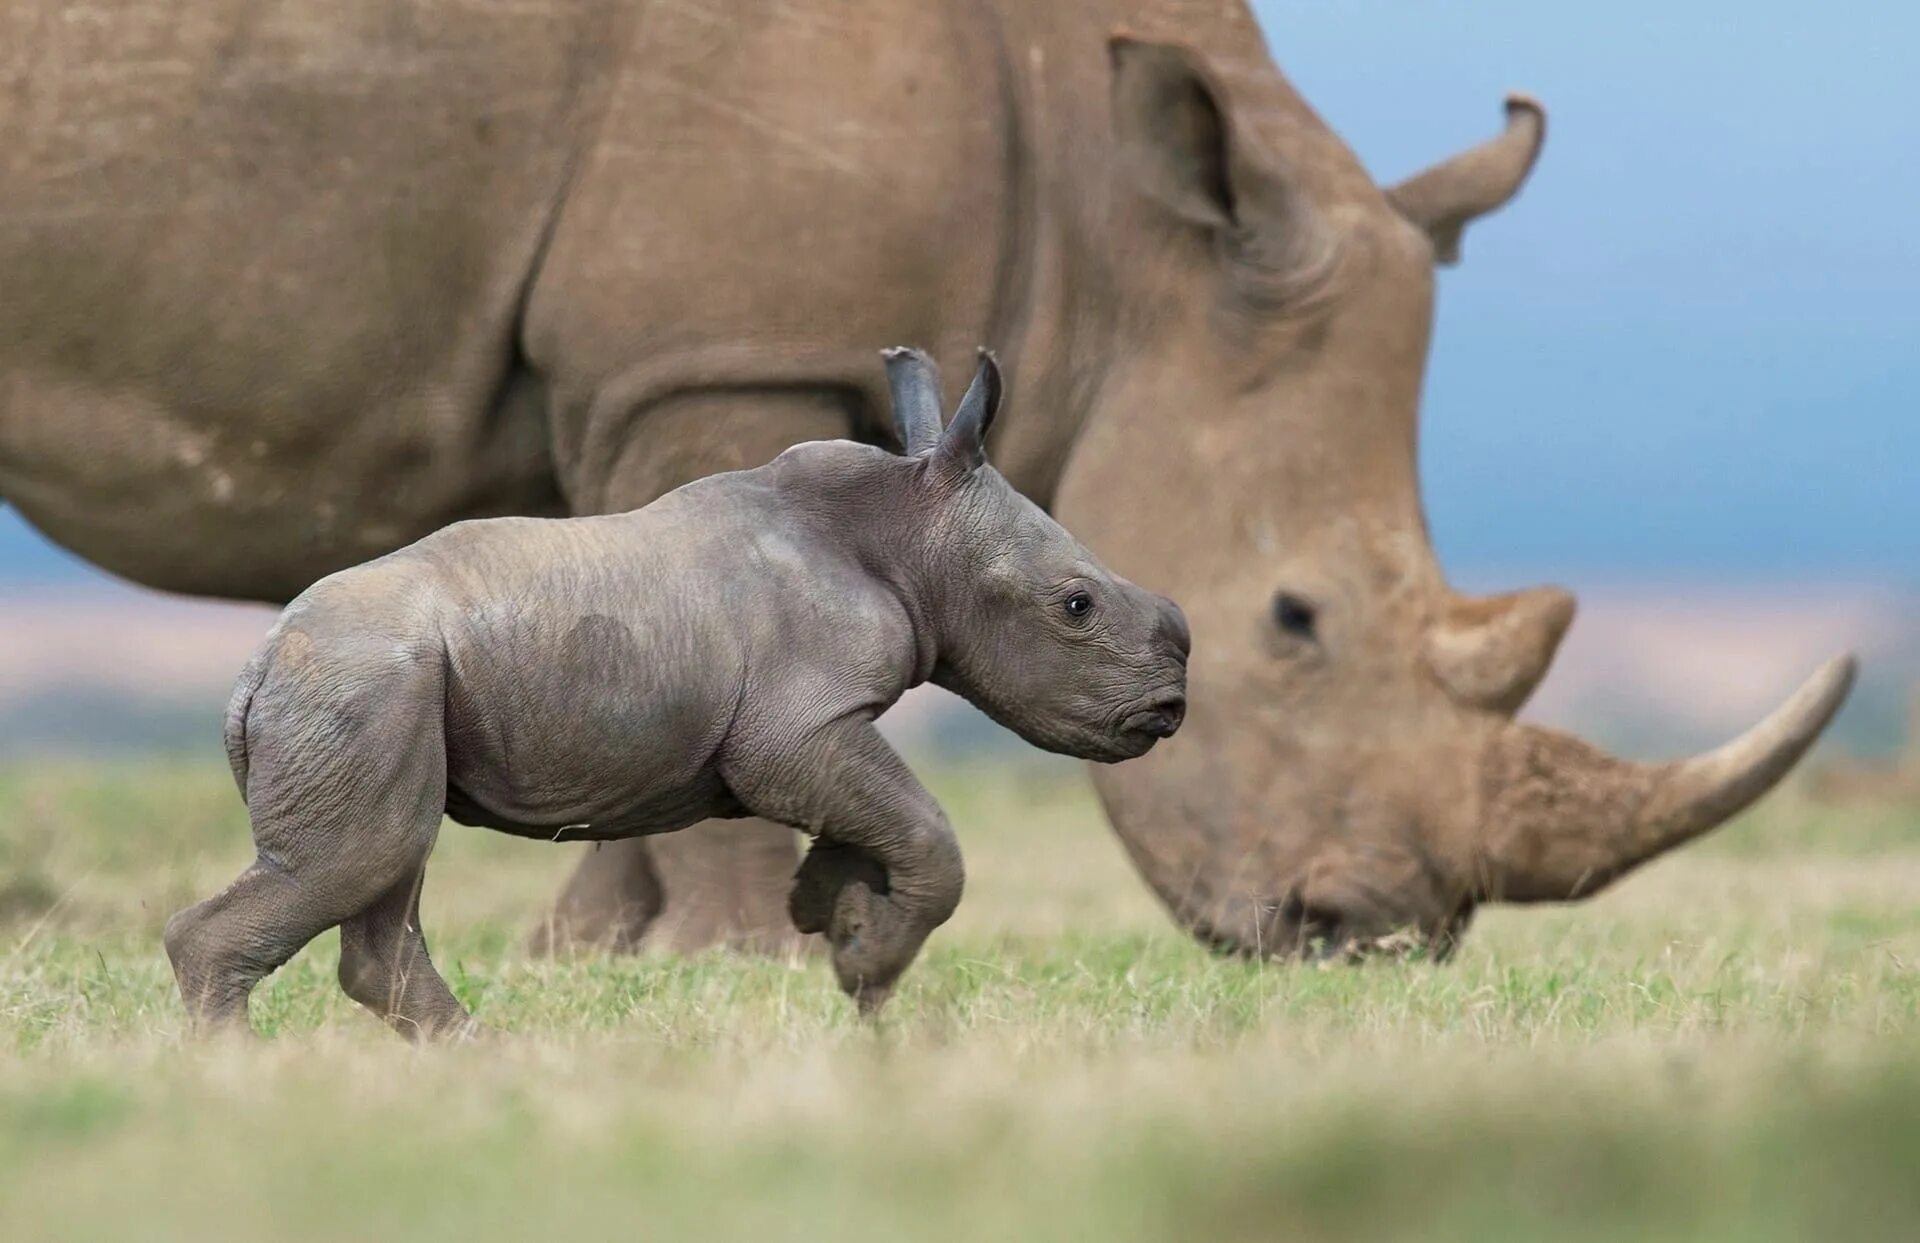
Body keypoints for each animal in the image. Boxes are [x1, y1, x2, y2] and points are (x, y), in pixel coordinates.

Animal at [0, 0, 1858, 964]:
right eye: (1294, 617)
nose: (1379, 936)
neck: (1111, 225)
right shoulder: (715, 346)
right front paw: (737, 965)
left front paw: (592, 955)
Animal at [168, 349, 1182, 1037]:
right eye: (1078, 606)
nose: (1169, 707)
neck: (908, 528)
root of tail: (258, 666)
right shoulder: (796, 727)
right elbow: (929, 832)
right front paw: (866, 968)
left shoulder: (816, 726)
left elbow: (880, 822)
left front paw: (832, 915)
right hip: (362, 684)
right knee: (358, 862)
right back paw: (241, 1070)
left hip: (377, 690)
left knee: (383, 868)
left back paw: (487, 1059)